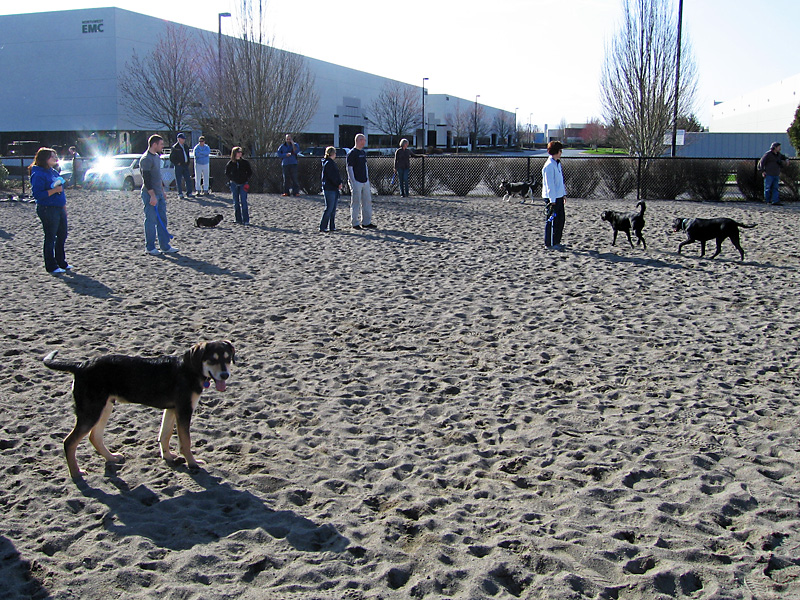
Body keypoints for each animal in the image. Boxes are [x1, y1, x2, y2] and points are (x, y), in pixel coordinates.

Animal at [44, 342, 234, 478]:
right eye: (212, 359)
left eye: (227, 358)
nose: (225, 376)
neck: (190, 369)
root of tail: (80, 365)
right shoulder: (184, 410)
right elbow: (185, 442)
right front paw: (193, 463)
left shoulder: (172, 409)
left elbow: (164, 435)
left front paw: (168, 457)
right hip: (91, 412)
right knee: (69, 442)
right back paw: (76, 473)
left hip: (104, 407)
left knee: (94, 437)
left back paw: (111, 458)